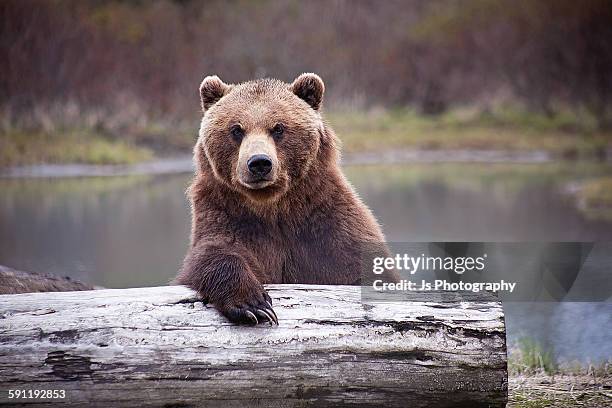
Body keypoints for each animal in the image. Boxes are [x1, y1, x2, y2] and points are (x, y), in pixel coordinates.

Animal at [175, 71, 390, 324]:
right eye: (236, 129)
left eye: (278, 128)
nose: (259, 163)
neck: (273, 207)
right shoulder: (225, 214)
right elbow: (214, 253)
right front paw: (254, 305)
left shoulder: (328, 224)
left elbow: (359, 267)